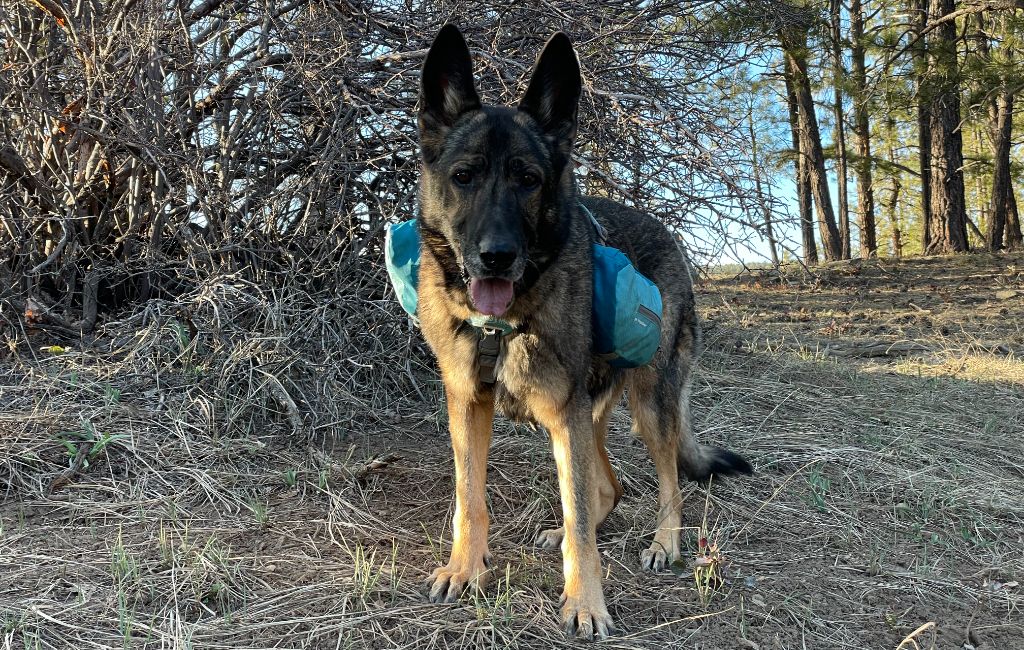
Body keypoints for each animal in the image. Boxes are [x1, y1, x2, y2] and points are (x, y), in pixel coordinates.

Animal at [409, 26, 753, 642]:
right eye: (463, 177)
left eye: (529, 180)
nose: (496, 257)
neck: (504, 320)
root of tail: (668, 234)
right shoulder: (468, 404)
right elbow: (470, 497)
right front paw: (464, 568)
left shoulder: (564, 413)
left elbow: (581, 517)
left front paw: (585, 602)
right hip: (586, 413)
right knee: (607, 488)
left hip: (646, 404)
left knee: (667, 482)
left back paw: (664, 542)